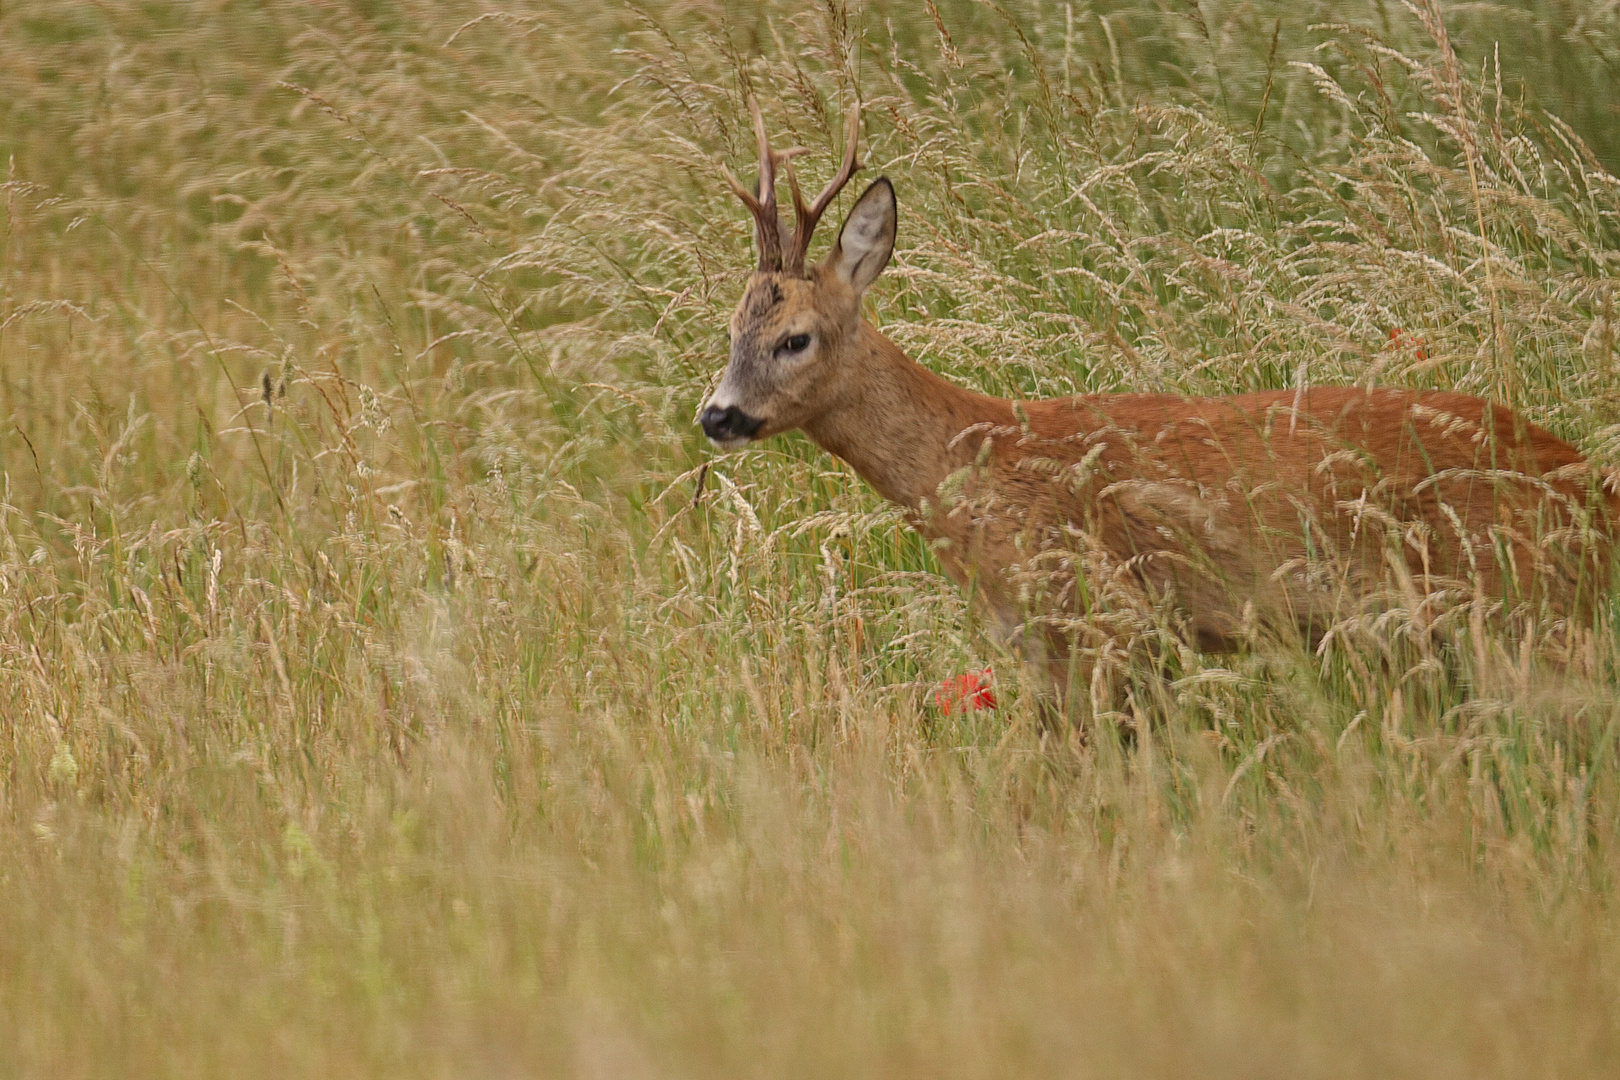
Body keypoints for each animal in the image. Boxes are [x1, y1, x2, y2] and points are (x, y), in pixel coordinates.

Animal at [699, 99, 1620, 709]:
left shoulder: (1107, 620)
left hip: (1525, 609)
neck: (977, 461)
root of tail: (1590, 482)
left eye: (796, 339)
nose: (717, 415)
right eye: (731, 326)